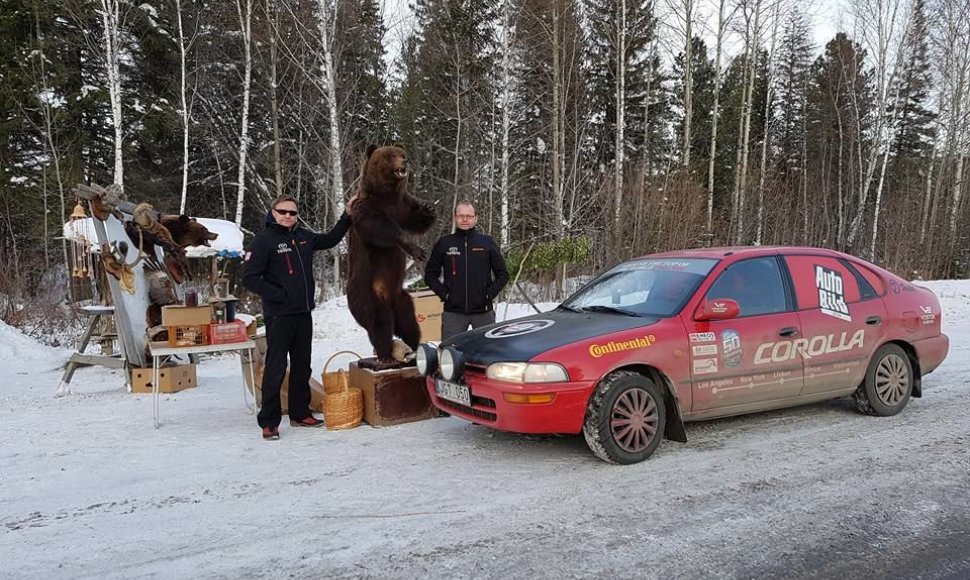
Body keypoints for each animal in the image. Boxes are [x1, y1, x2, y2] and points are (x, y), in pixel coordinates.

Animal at [348, 144, 434, 368]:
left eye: (401, 153)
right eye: (390, 155)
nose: (405, 161)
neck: (387, 196)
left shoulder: (403, 205)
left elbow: (416, 219)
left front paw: (429, 208)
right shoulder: (366, 208)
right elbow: (379, 227)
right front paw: (415, 249)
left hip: (402, 298)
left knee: (408, 323)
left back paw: (414, 347)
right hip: (368, 293)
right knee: (380, 323)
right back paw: (384, 354)